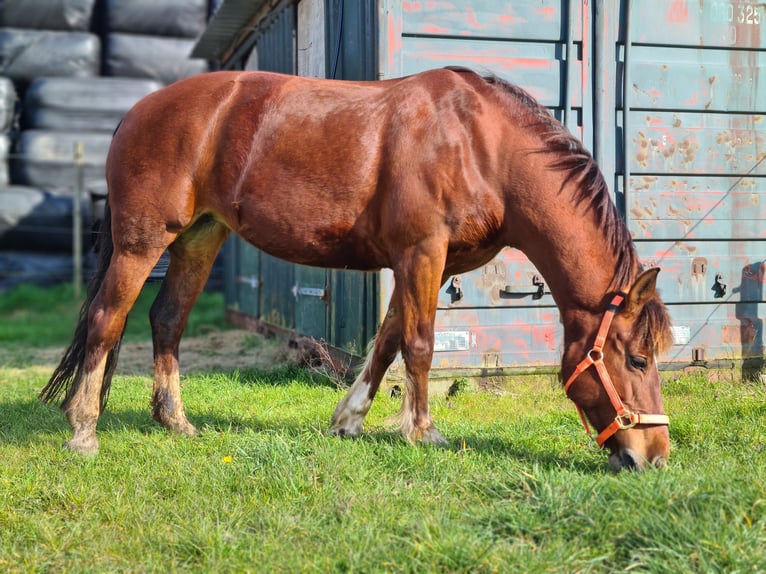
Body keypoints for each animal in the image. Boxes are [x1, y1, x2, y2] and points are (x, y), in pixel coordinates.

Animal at [39, 67, 676, 472]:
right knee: (106, 320)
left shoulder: (419, 261)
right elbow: (418, 344)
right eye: (637, 360)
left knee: (166, 321)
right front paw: (423, 432)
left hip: (199, 238)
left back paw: (175, 422)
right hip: (142, 242)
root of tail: (136, 112)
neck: (481, 145)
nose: (653, 457)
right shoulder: (421, 253)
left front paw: (349, 421)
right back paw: (83, 431)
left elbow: (387, 339)